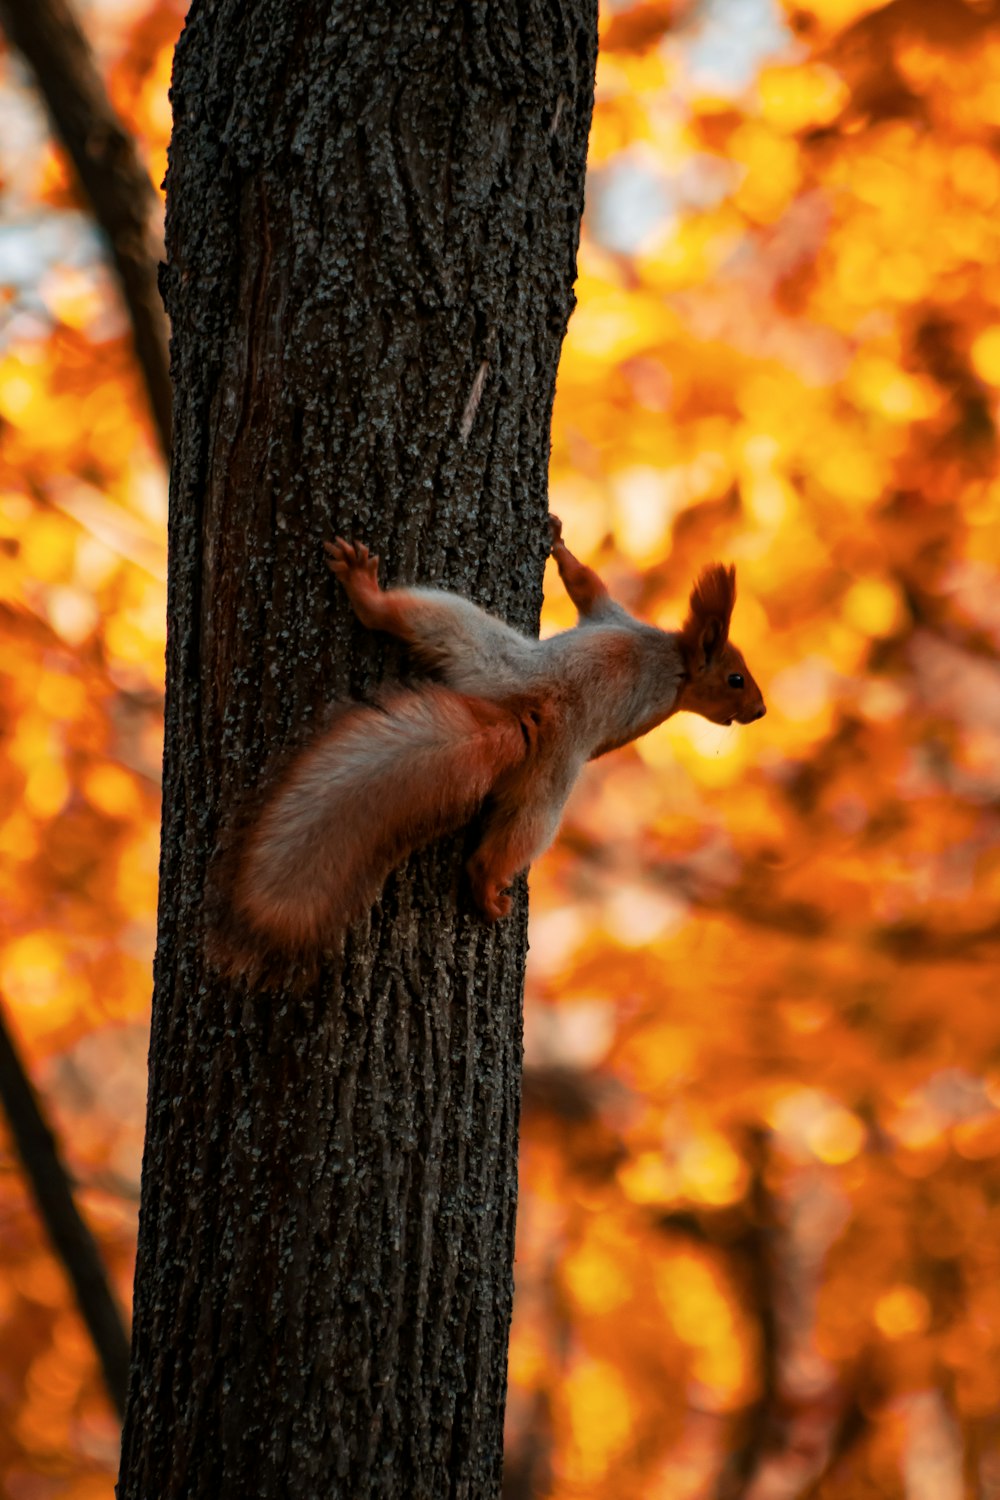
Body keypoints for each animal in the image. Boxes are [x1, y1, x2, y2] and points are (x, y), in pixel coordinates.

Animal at [217, 519, 767, 972]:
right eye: (737, 679)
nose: (760, 711)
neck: (675, 662)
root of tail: (530, 709)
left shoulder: (615, 621)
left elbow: (588, 588)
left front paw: (558, 543)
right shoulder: (630, 644)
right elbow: (590, 587)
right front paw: (559, 541)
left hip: (477, 649)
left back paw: (367, 595)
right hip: (538, 762)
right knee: (503, 849)